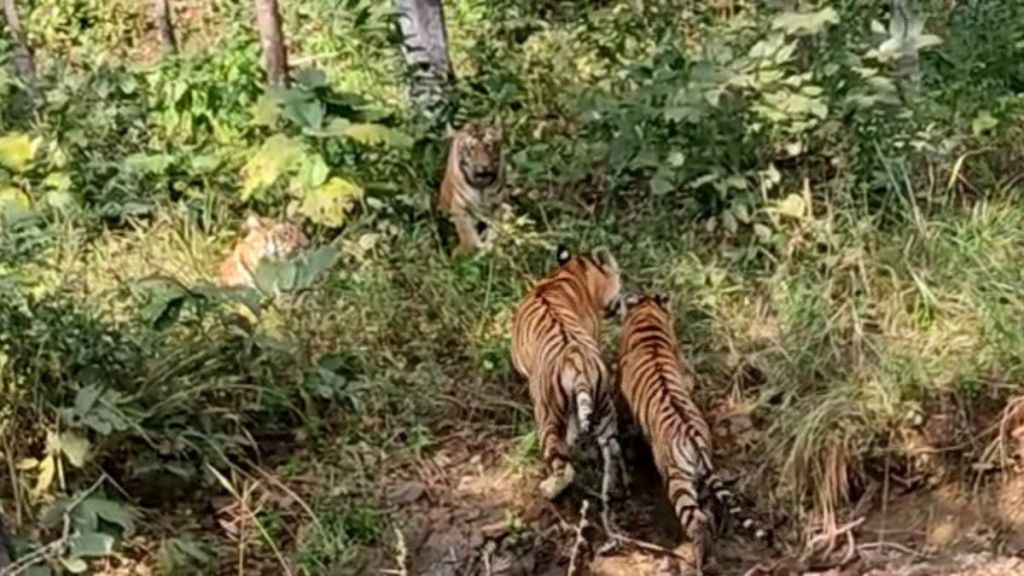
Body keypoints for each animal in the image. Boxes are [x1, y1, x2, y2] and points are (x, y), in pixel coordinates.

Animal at [438, 121, 501, 250]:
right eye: (472, 148)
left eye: (488, 146)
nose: (484, 166)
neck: (481, 186)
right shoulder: (460, 207)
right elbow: (467, 232)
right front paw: (468, 249)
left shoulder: (497, 204)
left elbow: (496, 230)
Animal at [509, 242, 626, 506]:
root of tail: (578, 362)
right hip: (604, 407)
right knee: (613, 451)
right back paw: (614, 488)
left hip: (546, 417)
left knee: (563, 467)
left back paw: (549, 488)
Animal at [610, 293, 765, 569]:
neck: (647, 316)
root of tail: (693, 435)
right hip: (699, 476)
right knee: (708, 514)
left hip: (677, 478)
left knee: (697, 519)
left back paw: (695, 560)